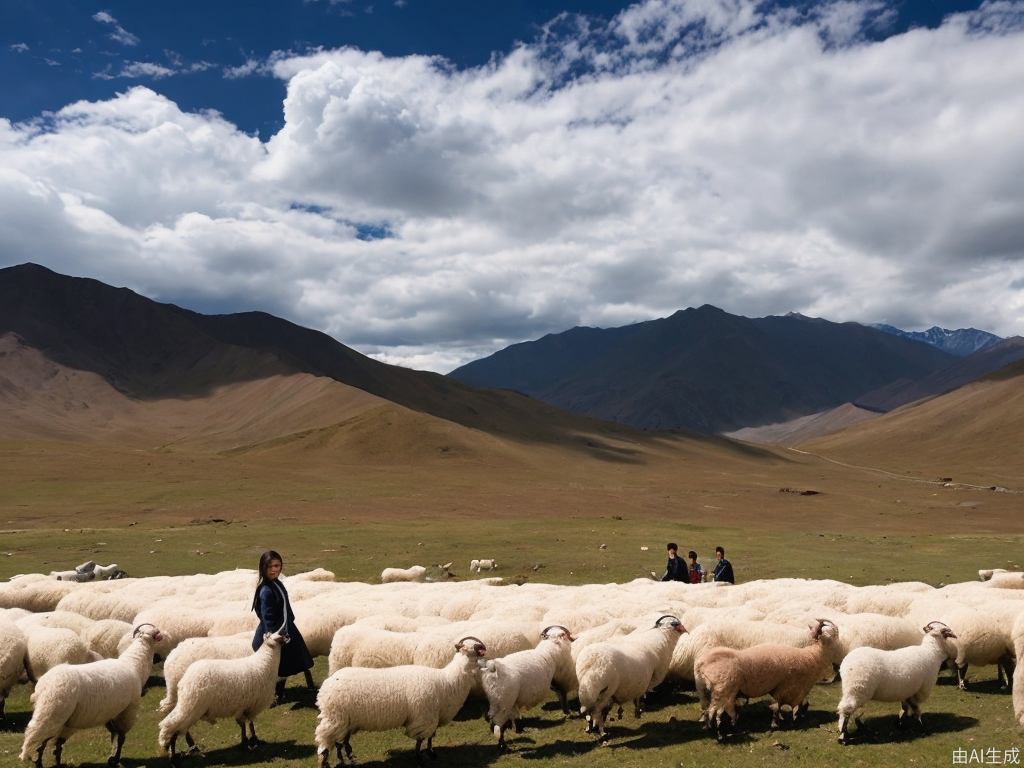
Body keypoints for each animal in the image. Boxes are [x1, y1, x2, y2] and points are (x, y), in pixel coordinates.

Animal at [17, 626, 164, 768]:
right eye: (157, 635)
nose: (159, 657)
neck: (134, 664)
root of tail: (43, 685)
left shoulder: (110, 714)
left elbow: (113, 735)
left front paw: (112, 757)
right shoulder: (126, 712)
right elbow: (121, 738)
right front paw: (115, 758)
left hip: (57, 716)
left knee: (47, 741)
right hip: (53, 713)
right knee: (36, 737)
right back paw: (35, 760)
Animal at [159, 630, 288, 765]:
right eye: (279, 637)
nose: (287, 636)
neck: (264, 661)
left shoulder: (243, 706)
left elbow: (243, 724)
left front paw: (245, 743)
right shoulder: (252, 705)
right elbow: (250, 724)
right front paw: (253, 741)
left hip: (189, 706)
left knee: (176, 728)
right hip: (191, 707)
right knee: (170, 727)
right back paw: (175, 756)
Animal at [311, 638, 487, 768]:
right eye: (477, 649)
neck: (448, 681)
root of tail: (325, 687)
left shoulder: (433, 716)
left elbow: (430, 737)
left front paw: (431, 753)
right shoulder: (424, 717)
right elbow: (420, 740)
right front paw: (420, 759)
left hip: (345, 721)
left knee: (340, 742)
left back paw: (347, 759)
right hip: (335, 717)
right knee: (326, 741)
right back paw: (325, 762)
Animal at [696, 618, 839, 741]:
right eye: (830, 639)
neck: (811, 657)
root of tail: (704, 663)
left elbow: (792, 706)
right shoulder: (787, 688)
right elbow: (778, 707)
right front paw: (778, 724)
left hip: (709, 691)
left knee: (708, 710)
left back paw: (711, 728)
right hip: (723, 691)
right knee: (716, 713)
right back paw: (721, 735)